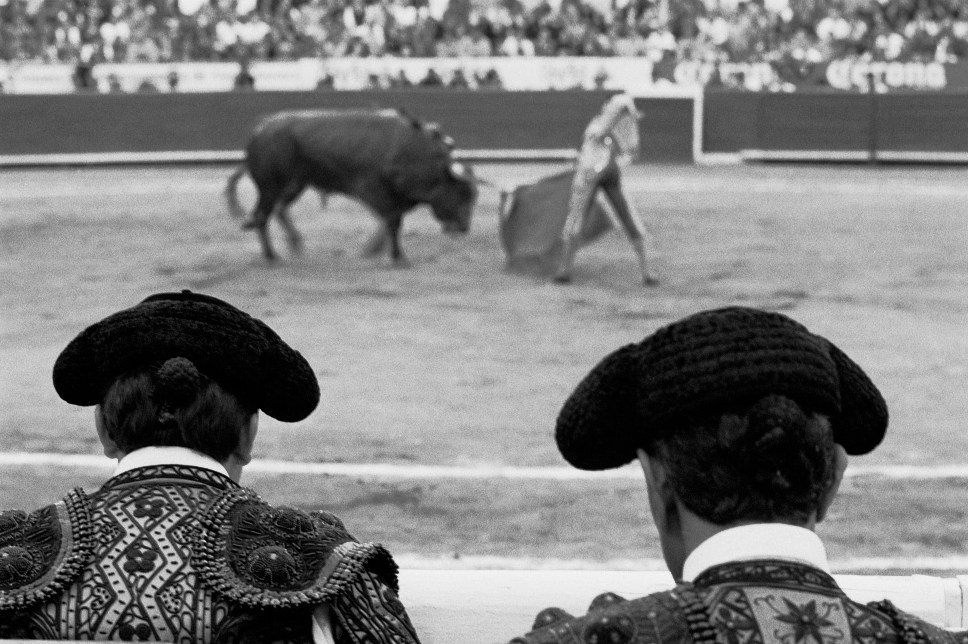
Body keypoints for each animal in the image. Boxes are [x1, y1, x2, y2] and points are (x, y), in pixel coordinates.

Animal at [228, 108, 484, 264]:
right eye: (461, 194)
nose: (464, 227)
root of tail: (260, 130)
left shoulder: (396, 197)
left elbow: (391, 222)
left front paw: (375, 251)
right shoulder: (374, 190)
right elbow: (392, 221)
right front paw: (397, 257)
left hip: (295, 184)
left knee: (279, 211)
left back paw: (294, 245)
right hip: (269, 187)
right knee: (262, 216)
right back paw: (272, 256)